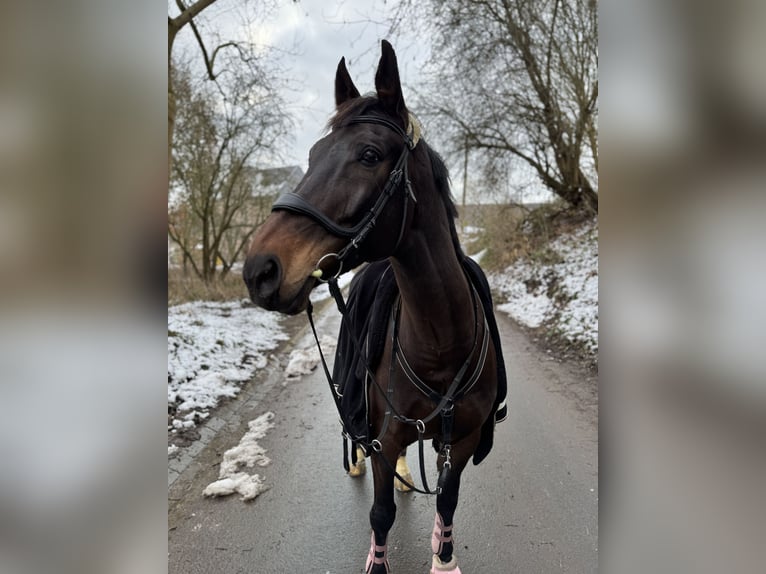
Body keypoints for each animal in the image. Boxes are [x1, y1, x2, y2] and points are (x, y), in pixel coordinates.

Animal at [242, 40, 504, 574]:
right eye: (313, 154)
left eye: (369, 154)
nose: (261, 269)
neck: (441, 341)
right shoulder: (385, 439)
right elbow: (381, 514)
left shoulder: (463, 440)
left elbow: (447, 499)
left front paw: (443, 559)